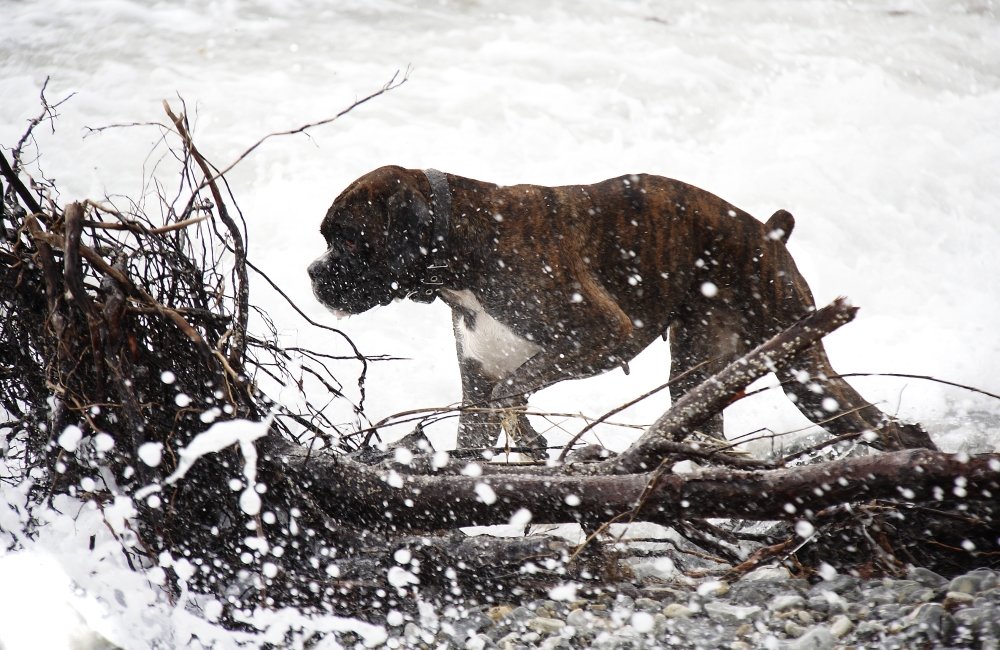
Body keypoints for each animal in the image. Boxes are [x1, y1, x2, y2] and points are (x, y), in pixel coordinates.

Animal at [306, 165, 936, 454]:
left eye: (348, 239)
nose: (313, 272)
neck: (466, 245)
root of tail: (766, 232)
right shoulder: (475, 384)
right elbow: (478, 433)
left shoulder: (602, 337)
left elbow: (518, 384)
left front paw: (528, 431)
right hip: (708, 369)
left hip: (800, 369)